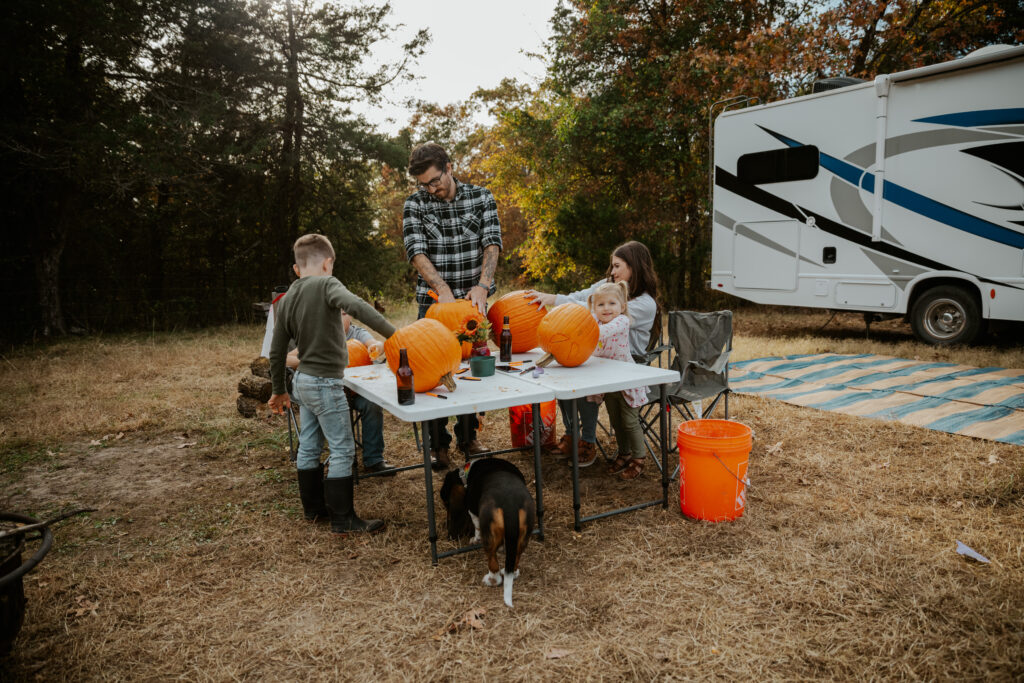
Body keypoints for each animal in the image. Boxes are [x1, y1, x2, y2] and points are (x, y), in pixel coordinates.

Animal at [438, 456, 536, 606]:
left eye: (446, 503)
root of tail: (510, 505)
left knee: (493, 563)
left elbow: (476, 526)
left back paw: (491, 580)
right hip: (523, 536)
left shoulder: (473, 511)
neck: (466, 474)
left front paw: (474, 539)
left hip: (489, 535)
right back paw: (511, 571)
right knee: (515, 559)